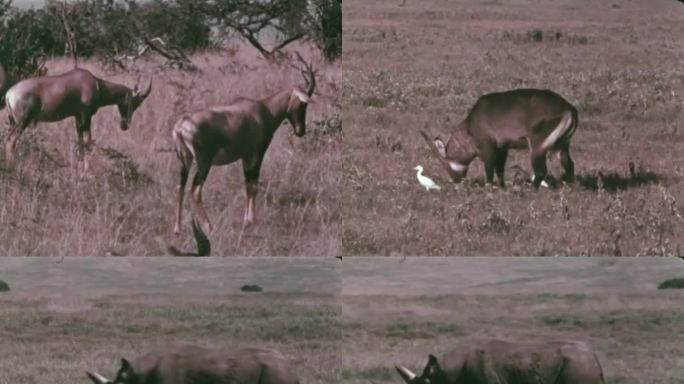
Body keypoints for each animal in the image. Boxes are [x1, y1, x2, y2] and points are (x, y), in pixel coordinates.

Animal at [3, 68, 153, 170]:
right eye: (135, 103)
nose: (124, 126)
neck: (95, 83)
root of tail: (9, 93)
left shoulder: (77, 117)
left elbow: (80, 141)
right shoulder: (86, 115)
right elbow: (88, 141)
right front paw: (87, 169)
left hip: (12, 122)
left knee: (8, 138)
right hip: (22, 122)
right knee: (12, 140)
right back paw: (12, 164)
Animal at [174, 60, 318, 234]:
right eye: (303, 104)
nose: (300, 131)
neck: (262, 109)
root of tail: (181, 126)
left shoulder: (245, 156)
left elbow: (247, 183)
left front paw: (247, 220)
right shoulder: (258, 153)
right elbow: (253, 184)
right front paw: (251, 221)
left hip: (184, 161)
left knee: (180, 187)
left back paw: (178, 228)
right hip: (204, 163)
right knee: (194, 190)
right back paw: (209, 226)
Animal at [422, 87, 576, 189]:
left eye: (446, 164)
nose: (456, 181)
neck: (471, 124)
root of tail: (569, 108)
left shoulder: (488, 147)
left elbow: (490, 169)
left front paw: (489, 189)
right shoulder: (502, 148)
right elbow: (500, 169)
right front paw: (502, 188)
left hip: (538, 146)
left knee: (540, 171)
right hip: (562, 145)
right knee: (569, 164)